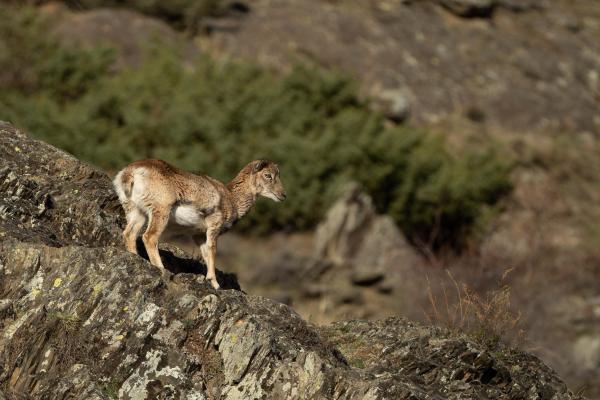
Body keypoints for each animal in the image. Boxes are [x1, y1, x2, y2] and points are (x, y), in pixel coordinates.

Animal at [116, 159, 290, 288]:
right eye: (268, 175)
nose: (283, 195)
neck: (231, 198)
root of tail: (130, 173)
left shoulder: (199, 235)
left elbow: (206, 254)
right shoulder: (213, 228)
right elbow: (212, 251)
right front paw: (215, 284)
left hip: (137, 213)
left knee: (129, 234)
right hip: (160, 212)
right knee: (149, 237)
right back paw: (162, 269)